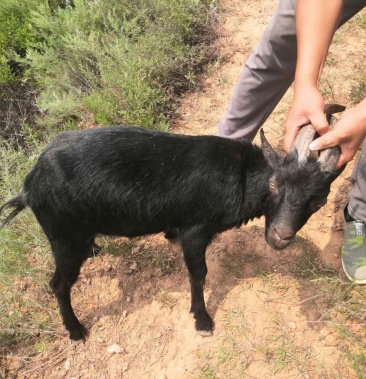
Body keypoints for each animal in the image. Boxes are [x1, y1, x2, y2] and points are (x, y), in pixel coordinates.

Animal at [0, 104, 344, 342]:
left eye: (319, 201)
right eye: (274, 185)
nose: (281, 235)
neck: (243, 175)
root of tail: (29, 186)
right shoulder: (196, 229)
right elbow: (198, 273)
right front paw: (202, 321)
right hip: (65, 238)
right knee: (58, 284)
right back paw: (76, 330)